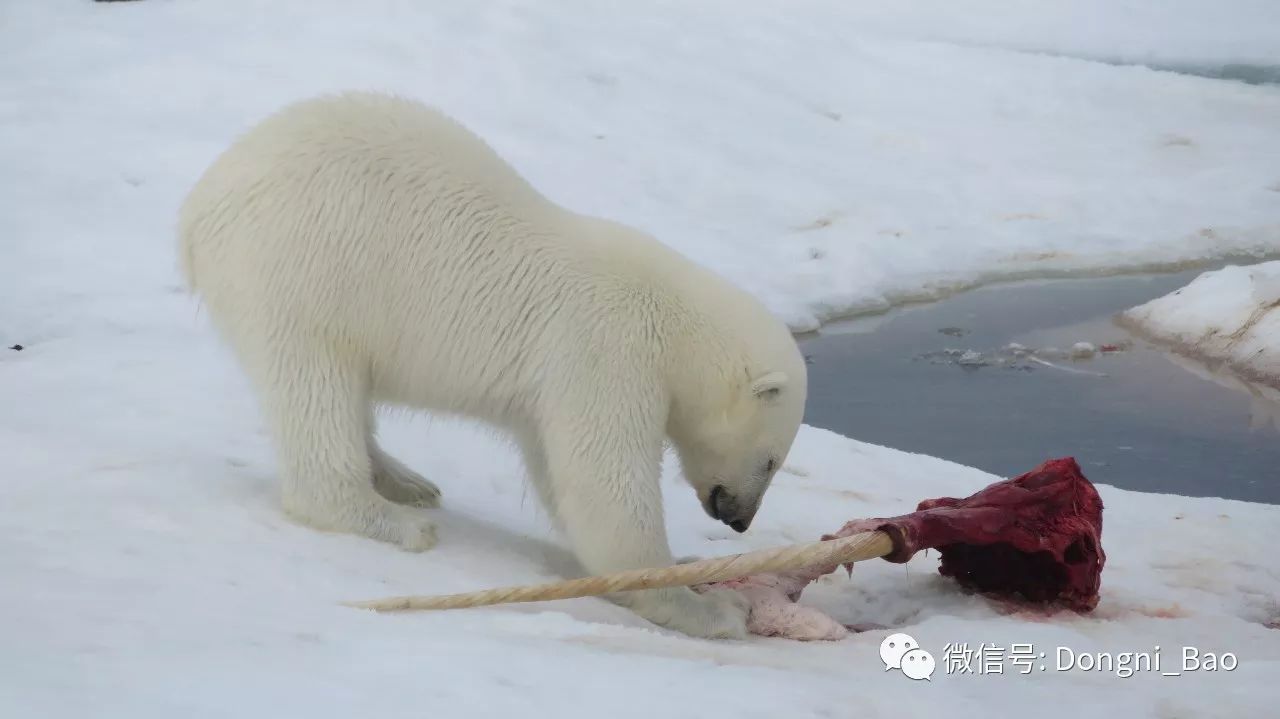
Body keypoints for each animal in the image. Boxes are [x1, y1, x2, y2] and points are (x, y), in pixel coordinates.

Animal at [179, 90, 803, 637]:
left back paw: (405, 480)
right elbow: (605, 488)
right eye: (771, 459)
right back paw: (392, 518)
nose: (740, 519)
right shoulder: (604, 350)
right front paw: (709, 606)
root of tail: (197, 210)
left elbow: (559, 475)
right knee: (316, 386)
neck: (676, 324)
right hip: (301, 272)